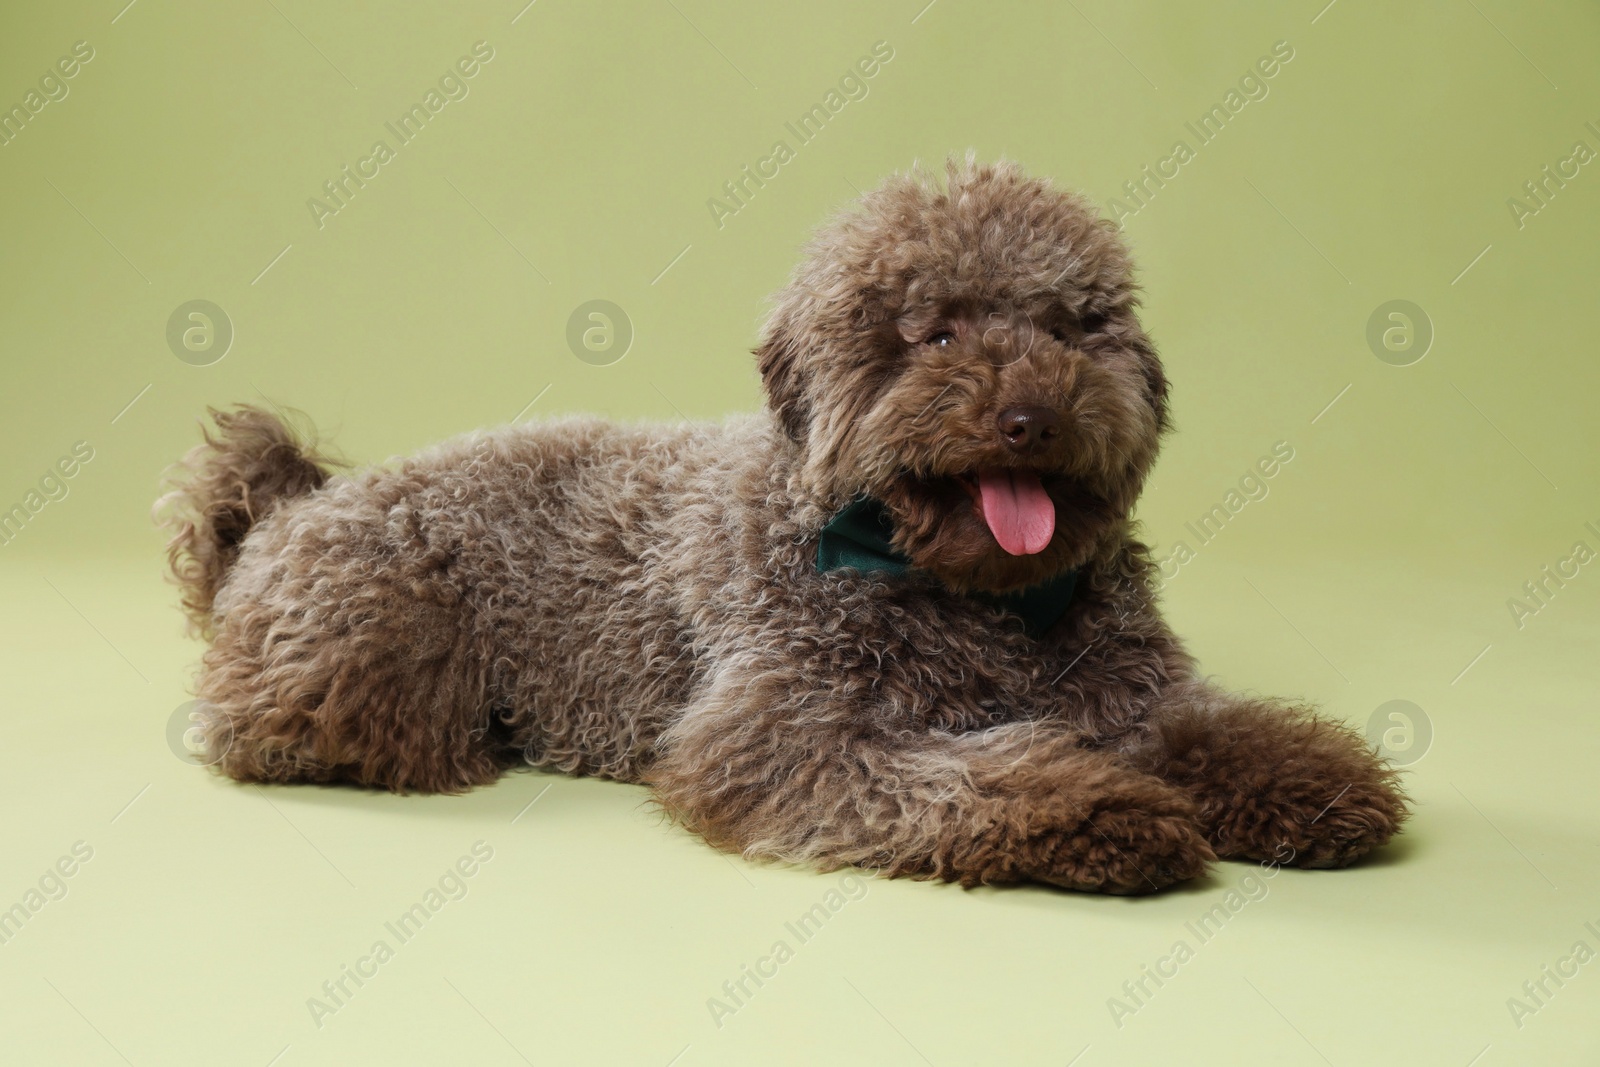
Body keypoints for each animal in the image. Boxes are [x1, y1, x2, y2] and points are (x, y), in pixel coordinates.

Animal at [156, 158, 1408, 895]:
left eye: (1071, 326)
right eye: (933, 333)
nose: (1033, 414)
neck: (968, 596)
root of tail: (290, 504)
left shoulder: (1128, 688)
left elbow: (1215, 729)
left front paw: (1310, 775)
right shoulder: (781, 731)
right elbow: (969, 779)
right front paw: (1106, 811)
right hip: (373, 639)